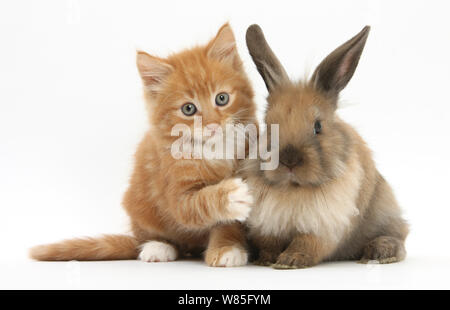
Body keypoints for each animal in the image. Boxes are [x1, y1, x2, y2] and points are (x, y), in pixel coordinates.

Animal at [30, 23, 256, 266]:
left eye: (222, 98)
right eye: (188, 109)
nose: (213, 125)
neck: (214, 148)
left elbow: (228, 223)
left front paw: (227, 248)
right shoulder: (176, 193)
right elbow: (198, 204)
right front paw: (231, 195)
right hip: (140, 207)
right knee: (149, 238)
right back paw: (157, 247)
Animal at [243, 24, 408, 268]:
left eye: (318, 126)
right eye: (269, 125)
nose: (289, 160)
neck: (294, 188)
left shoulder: (323, 226)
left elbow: (307, 244)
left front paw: (290, 261)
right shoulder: (268, 225)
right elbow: (269, 244)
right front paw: (267, 260)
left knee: (400, 236)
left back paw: (380, 252)